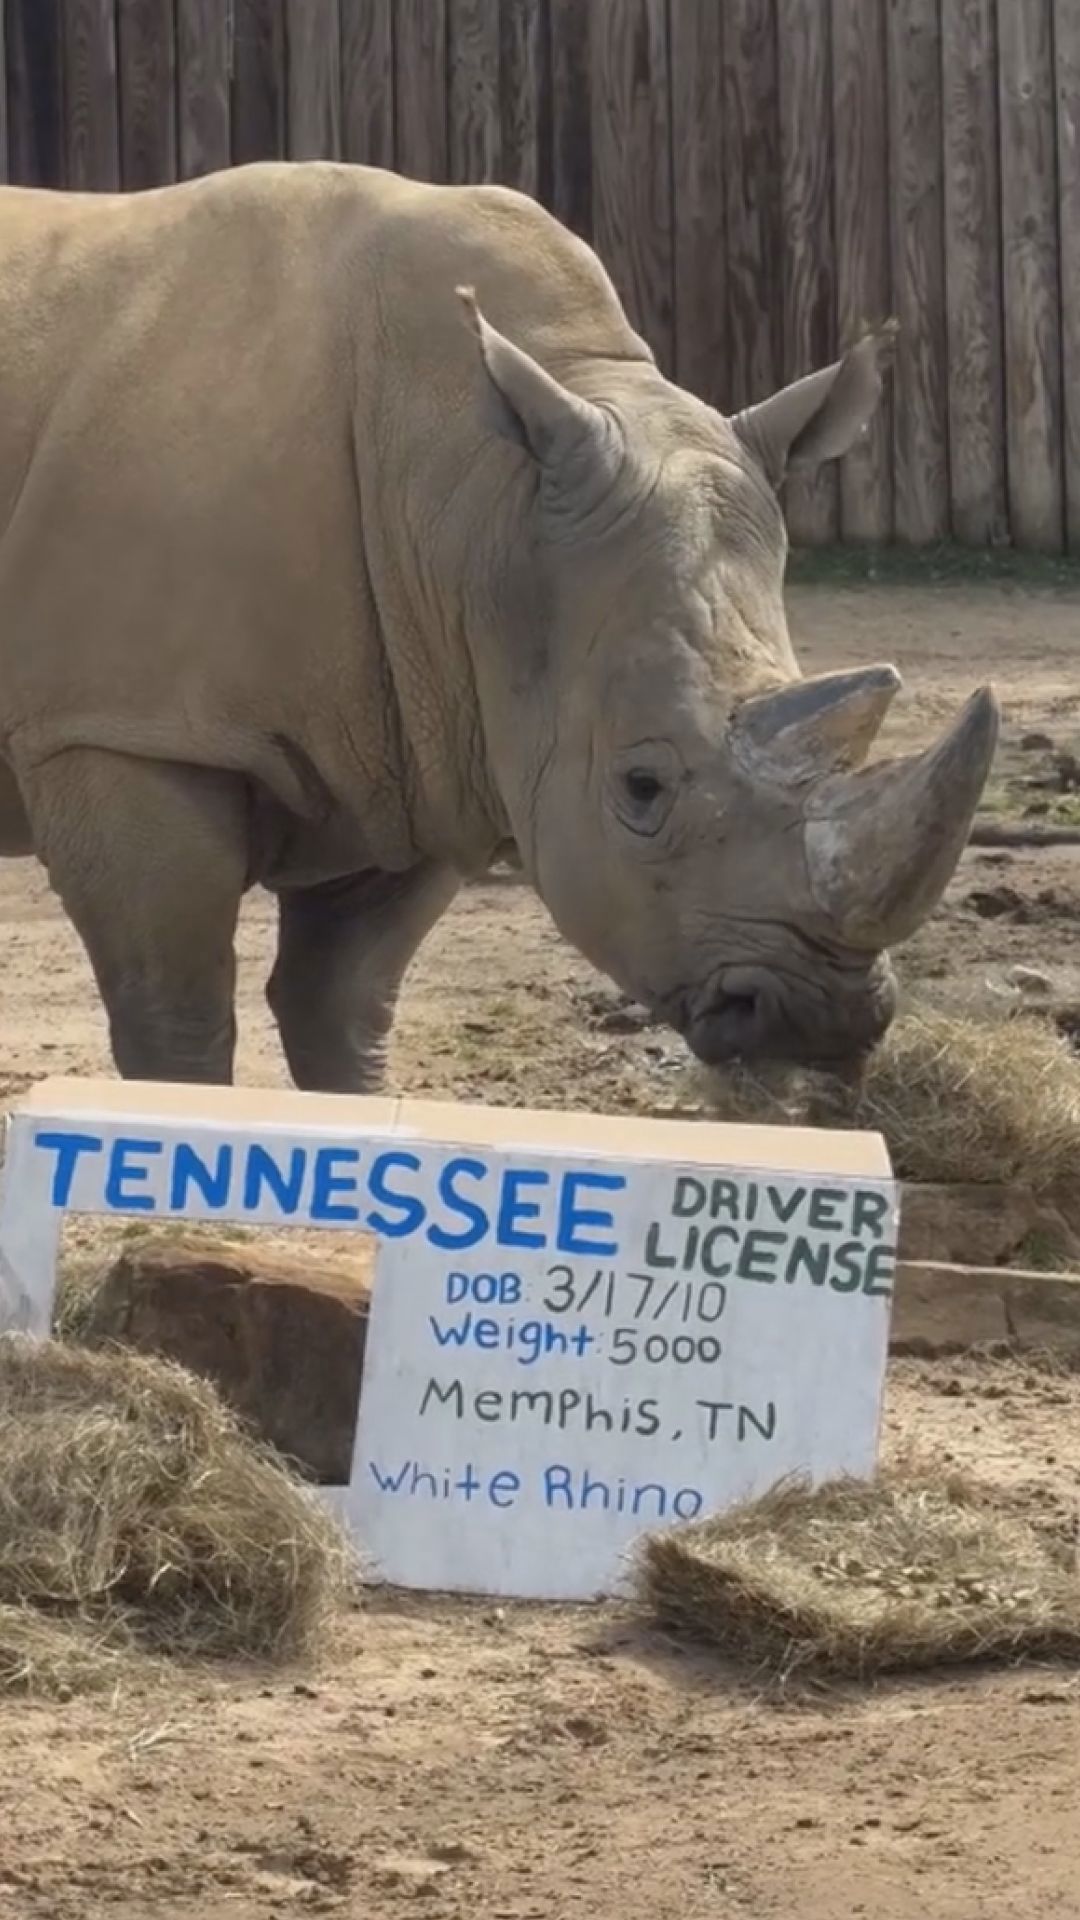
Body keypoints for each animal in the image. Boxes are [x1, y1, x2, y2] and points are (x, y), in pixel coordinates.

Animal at [0, 161, 997, 1090]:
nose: (820, 1019)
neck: (481, 507)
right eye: (641, 787)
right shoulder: (121, 729)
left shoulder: (425, 739)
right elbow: (177, 1017)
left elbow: (343, 1002)